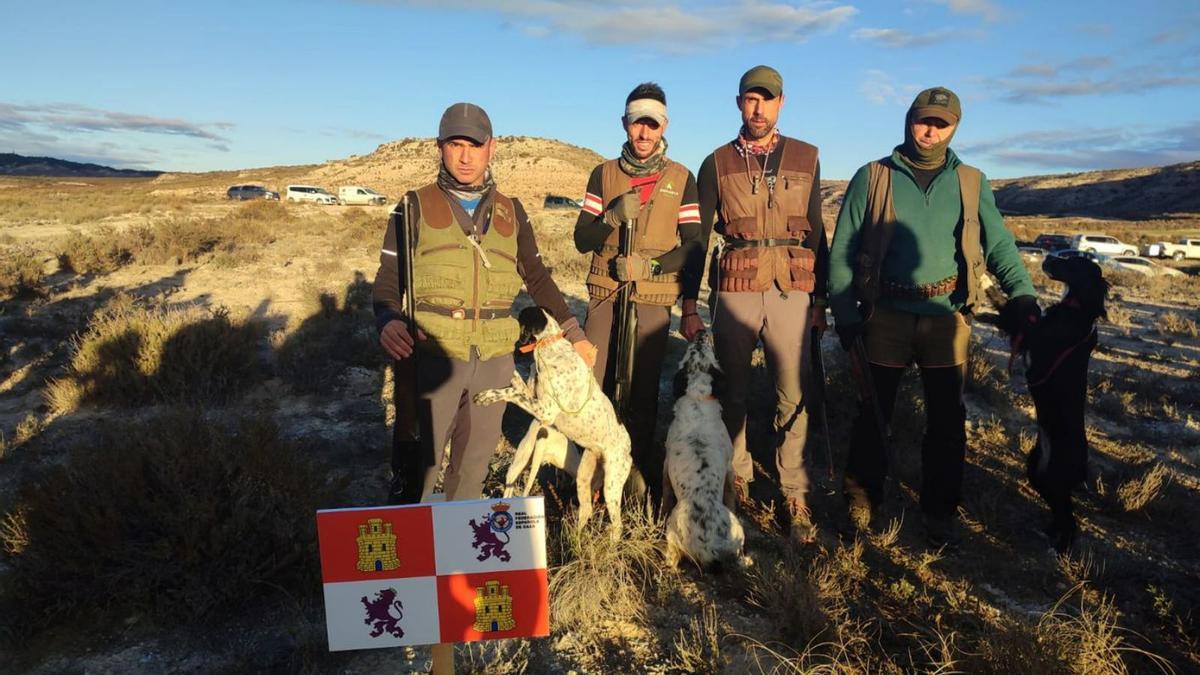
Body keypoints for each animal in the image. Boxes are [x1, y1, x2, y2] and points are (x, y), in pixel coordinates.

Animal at [472, 307, 633, 538]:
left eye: (519, 320)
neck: (549, 345)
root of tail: (629, 448)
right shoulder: (533, 395)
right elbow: (515, 384)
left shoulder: (545, 412)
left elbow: (512, 394)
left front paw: (486, 396)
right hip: (584, 476)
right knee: (586, 509)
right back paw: (573, 541)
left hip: (612, 484)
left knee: (617, 524)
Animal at [657, 329, 739, 566]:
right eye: (695, 348)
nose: (702, 331)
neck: (698, 398)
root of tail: (709, 548)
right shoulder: (730, 466)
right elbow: (731, 493)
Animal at [998, 254, 1108, 550]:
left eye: (1074, 262)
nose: (1048, 257)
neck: (1078, 310)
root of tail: (1081, 471)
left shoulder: (1033, 339)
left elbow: (1012, 315)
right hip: (1037, 473)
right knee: (1060, 513)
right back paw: (1049, 533)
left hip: (1055, 480)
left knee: (1070, 521)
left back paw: (1061, 547)